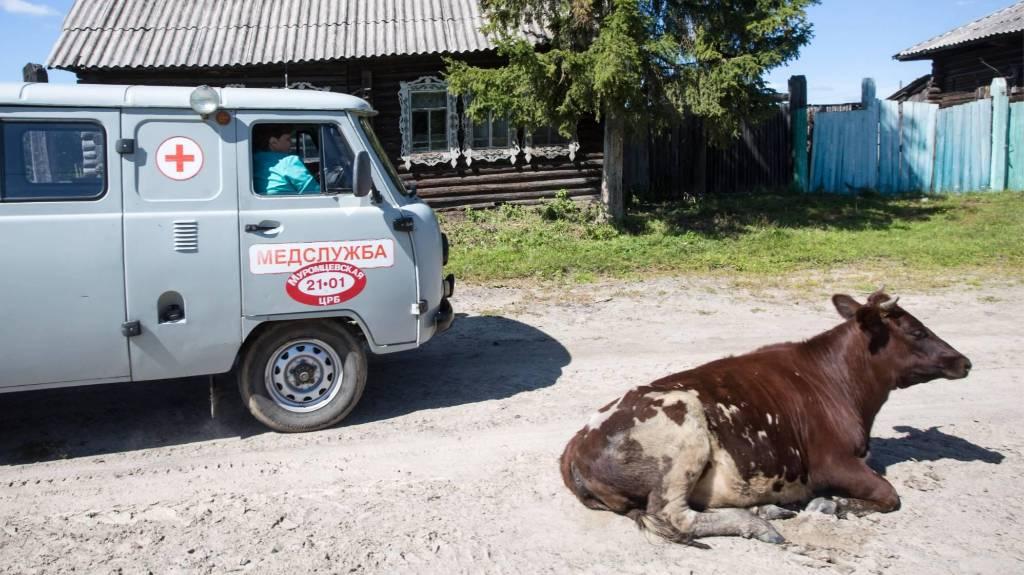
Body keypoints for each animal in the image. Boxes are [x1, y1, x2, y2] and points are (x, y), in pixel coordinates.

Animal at [561, 288, 966, 544]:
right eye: (917, 331)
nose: (964, 361)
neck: (840, 382)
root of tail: (574, 446)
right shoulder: (831, 462)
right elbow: (889, 495)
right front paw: (829, 503)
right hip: (682, 438)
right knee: (674, 515)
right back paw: (755, 523)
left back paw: (768, 509)